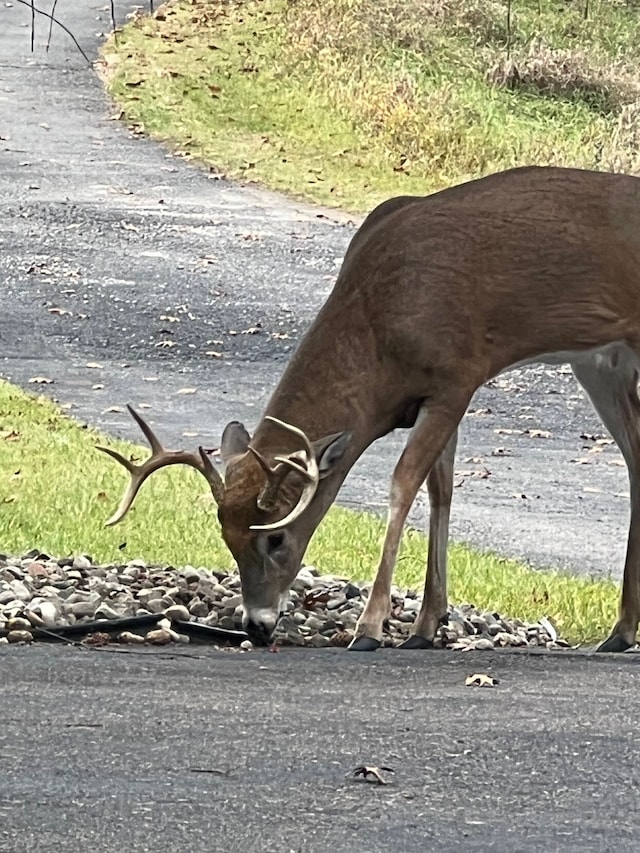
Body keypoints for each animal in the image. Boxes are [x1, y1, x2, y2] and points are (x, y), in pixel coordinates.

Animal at [102, 165, 640, 652]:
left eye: (275, 539)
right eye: (226, 536)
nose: (256, 625)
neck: (379, 327)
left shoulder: (457, 374)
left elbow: (404, 483)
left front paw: (371, 627)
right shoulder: (435, 394)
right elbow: (441, 490)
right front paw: (425, 626)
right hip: (602, 364)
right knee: (635, 457)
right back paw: (621, 630)